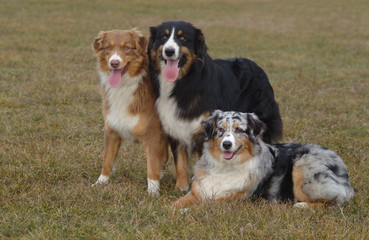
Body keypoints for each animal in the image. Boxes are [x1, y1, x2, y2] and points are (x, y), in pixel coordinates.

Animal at [91, 29, 167, 196]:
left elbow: (152, 165)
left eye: (126, 48)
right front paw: (100, 183)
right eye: (108, 47)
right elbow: (107, 160)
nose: (114, 63)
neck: (124, 86)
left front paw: (153, 192)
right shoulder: (111, 130)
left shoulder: (153, 134)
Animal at [148, 20, 284, 190]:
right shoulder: (175, 126)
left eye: (183, 38)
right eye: (163, 37)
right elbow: (180, 161)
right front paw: (181, 187)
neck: (186, 82)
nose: (169, 51)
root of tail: (256, 66)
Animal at [172, 110, 354, 208]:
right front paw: (172, 210)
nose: (227, 144)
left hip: (303, 167)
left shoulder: (232, 200)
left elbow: (202, 207)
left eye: (239, 130)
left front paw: (186, 212)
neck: (226, 166)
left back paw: (301, 205)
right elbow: (178, 203)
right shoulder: (197, 191)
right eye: (220, 130)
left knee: (334, 201)